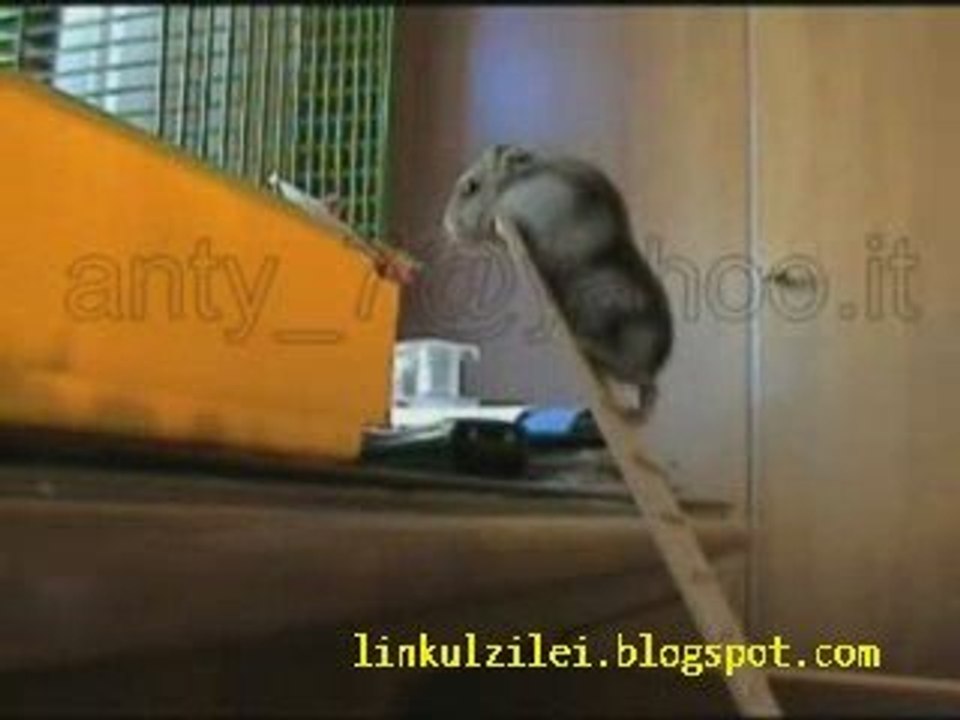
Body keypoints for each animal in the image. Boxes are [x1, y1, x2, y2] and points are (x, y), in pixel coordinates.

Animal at [442, 144, 674, 421]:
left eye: (471, 187)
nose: (447, 226)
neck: (512, 187)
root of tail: (652, 370)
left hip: (603, 312)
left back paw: (587, 343)